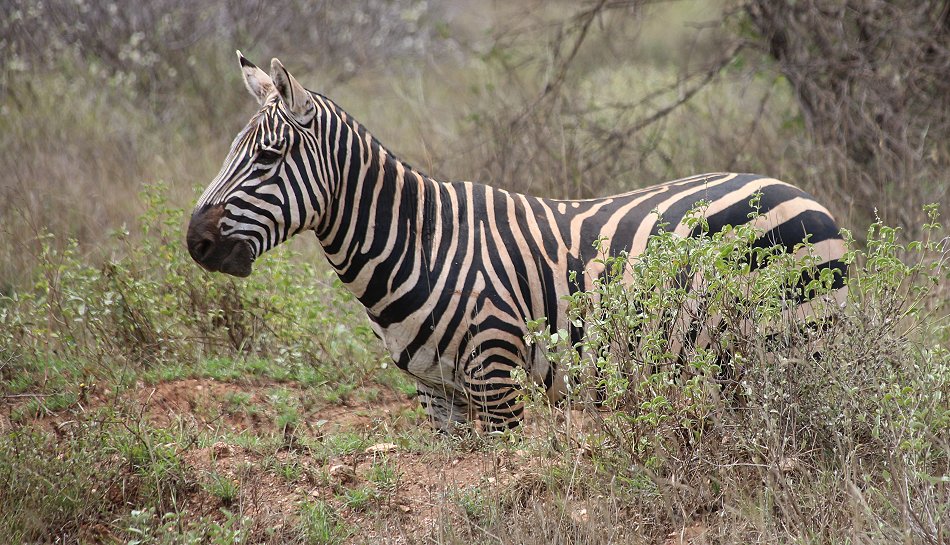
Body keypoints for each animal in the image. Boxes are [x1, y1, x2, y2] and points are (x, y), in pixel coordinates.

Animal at [186, 53, 848, 432]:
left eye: (268, 157)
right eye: (230, 150)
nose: (195, 242)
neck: (419, 246)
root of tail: (803, 193)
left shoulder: (496, 378)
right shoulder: (438, 392)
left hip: (799, 340)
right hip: (741, 359)